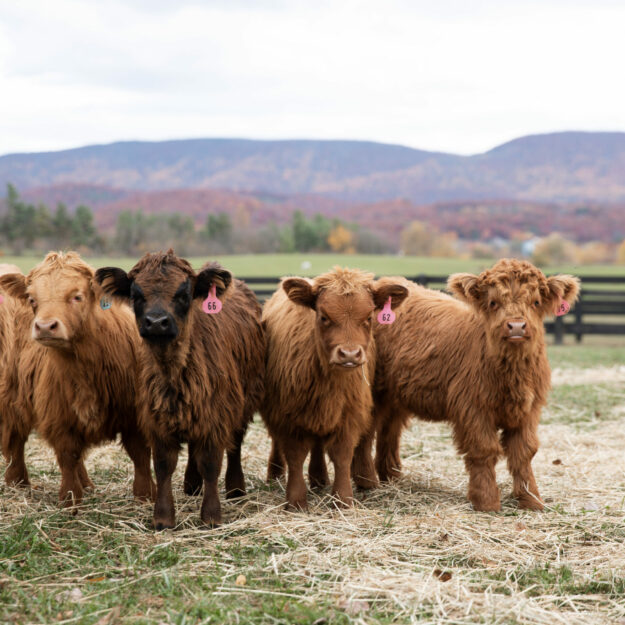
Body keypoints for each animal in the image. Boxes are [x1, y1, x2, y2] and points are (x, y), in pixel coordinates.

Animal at [0, 251, 155, 504]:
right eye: (32, 299)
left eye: (77, 296)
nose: (45, 326)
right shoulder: (58, 415)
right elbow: (67, 456)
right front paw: (69, 499)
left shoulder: (134, 413)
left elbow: (140, 454)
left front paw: (146, 495)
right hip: (12, 398)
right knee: (15, 442)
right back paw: (18, 482)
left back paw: (87, 484)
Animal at [96, 251, 264, 528]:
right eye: (136, 295)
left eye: (184, 294)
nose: (156, 322)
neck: (173, 375)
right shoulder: (157, 420)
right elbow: (164, 465)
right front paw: (163, 517)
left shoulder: (216, 416)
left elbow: (211, 463)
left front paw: (211, 515)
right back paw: (192, 485)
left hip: (245, 401)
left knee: (235, 445)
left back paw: (235, 488)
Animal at [260, 266, 410, 510]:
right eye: (323, 316)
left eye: (369, 317)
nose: (349, 354)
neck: (329, 383)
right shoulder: (287, 415)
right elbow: (295, 455)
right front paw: (296, 500)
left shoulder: (349, 415)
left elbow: (341, 455)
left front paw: (342, 499)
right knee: (278, 443)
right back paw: (275, 474)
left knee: (317, 446)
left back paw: (319, 478)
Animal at [364, 258, 576, 512]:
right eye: (493, 302)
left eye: (535, 302)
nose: (516, 326)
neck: (512, 375)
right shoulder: (474, 409)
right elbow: (484, 451)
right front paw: (486, 501)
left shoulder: (529, 411)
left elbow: (524, 452)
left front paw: (531, 499)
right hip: (373, 391)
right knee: (366, 433)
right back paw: (368, 482)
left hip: (396, 396)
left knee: (390, 430)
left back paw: (392, 476)